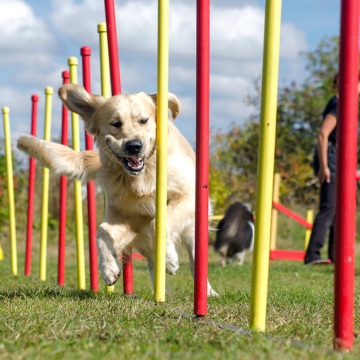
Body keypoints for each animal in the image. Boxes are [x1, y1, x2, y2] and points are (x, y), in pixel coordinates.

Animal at [17, 84, 217, 296]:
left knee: (195, 261)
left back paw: (207, 292)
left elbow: (159, 222)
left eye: (144, 120)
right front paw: (109, 269)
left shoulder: (189, 197)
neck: (143, 176)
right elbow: (101, 233)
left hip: (193, 229)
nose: (134, 146)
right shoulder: (126, 214)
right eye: (115, 123)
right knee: (151, 260)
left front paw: (169, 259)